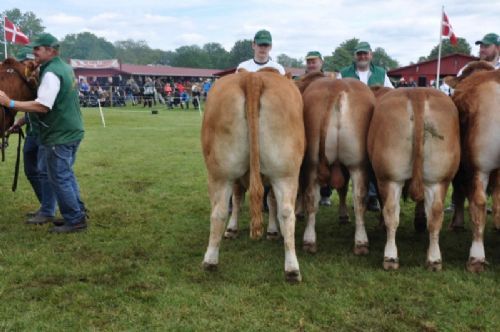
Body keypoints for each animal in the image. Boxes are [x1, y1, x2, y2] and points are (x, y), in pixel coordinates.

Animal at [200, 67, 304, 282]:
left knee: (219, 210)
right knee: (286, 211)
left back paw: (210, 260)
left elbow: (240, 199)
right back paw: (292, 268)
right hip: (284, 173)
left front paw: (233, 228)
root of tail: (253, 77)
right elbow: (269, 201)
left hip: (222, 174)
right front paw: (272, 231)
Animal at [296, 75, 376, 254]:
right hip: (359, 164)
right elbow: (343, 189)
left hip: (313, 163)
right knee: (359, 199)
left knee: (312, 198)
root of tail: (337, 85)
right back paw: (361, 242)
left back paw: (309, 240)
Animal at [368, 87, 460, 270]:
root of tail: (417, 92)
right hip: (438, 179)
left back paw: (390, 257)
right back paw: (434, 259)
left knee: (391, 212)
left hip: (389, 177)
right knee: (435, 214)